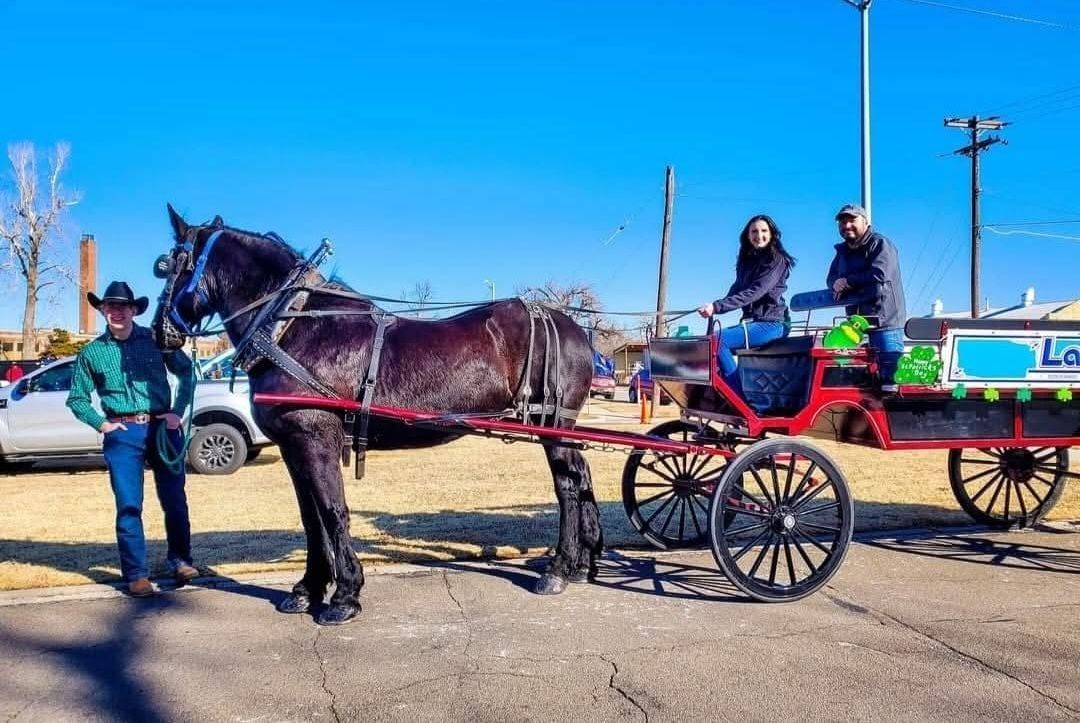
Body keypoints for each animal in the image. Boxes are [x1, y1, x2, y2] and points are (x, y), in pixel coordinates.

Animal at [153, 205, 609, 622]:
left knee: (567, 486)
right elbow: (310, 518)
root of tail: (571, 326)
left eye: (166, 264)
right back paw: (584, 561)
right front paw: (306, 590)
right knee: (582, 474)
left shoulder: (314, 439)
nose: (160, 332)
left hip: (553, 424)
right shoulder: (292, 446)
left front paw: (344, 596)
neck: (292, 326)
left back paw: (558, 569)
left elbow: (332, 511)